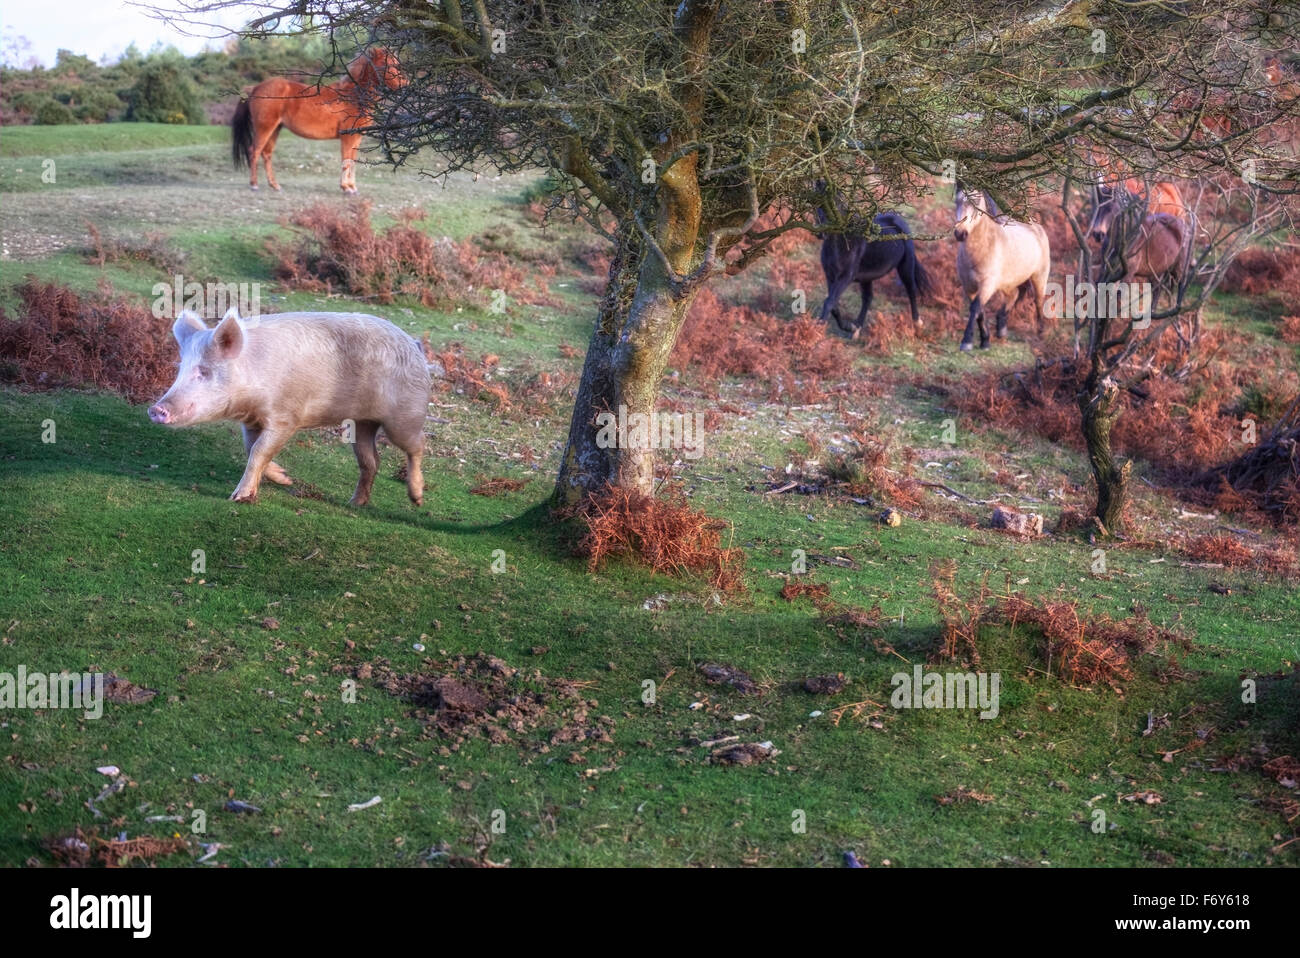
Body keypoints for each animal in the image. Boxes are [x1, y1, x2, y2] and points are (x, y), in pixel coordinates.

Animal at [148, 307, 430, 507]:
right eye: (179, 369)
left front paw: (239, 498)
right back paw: (355, 504)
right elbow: (250, 447)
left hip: (404, 416)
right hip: (362, 423)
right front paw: (285, 478)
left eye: (204, 372)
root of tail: (416, 347)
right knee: (371, 460)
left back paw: (416, 499)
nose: (155, 410)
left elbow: (259, 450)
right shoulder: (251, 421)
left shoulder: (286, 417)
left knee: (418, 445)